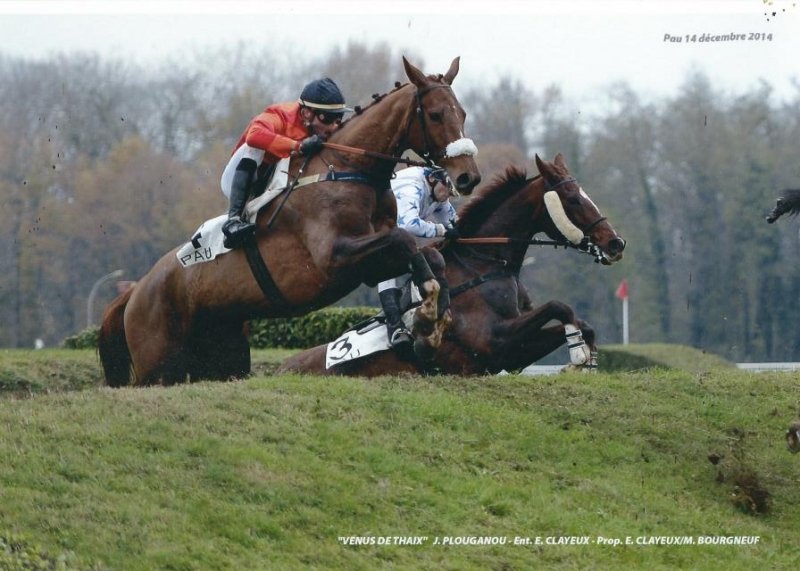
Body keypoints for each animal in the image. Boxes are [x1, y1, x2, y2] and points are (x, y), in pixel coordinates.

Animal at [98, 56, 481, 386]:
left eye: (462, 113)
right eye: (435, 115)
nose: (468, 177)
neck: (348, 169)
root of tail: (136, 290)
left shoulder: (369, 259)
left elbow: (426, 254)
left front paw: (431, 322)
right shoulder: (336, 257)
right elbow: (405, 242)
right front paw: (426, 315)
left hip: (225, 354)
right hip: (158, 364)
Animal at [277, 153, 626, 377]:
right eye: (573, 198)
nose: (615, 243)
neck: (486, 266)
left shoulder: (512, 352)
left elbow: (582, 323)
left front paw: (583, 355)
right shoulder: (495, 343)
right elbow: (559, 306)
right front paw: (578, 354)